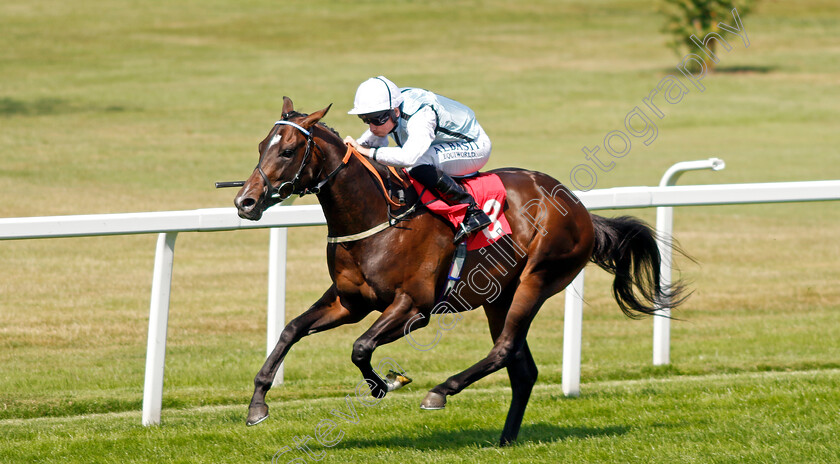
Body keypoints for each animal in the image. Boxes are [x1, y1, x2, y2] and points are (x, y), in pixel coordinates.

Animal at [231, 97, 688, 446]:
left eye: (288, 150)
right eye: (261, 145)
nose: (245, 202)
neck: (376, 217)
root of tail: (579, 209)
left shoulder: (413, 307)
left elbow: (360, 347)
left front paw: (386, 383)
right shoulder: (349, 301)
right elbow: (291, 329)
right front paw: (257, 405)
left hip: (537, 279)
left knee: (504, 350)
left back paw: (441, 392)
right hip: (499, 296)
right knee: (522, 368)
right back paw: (505, 439)